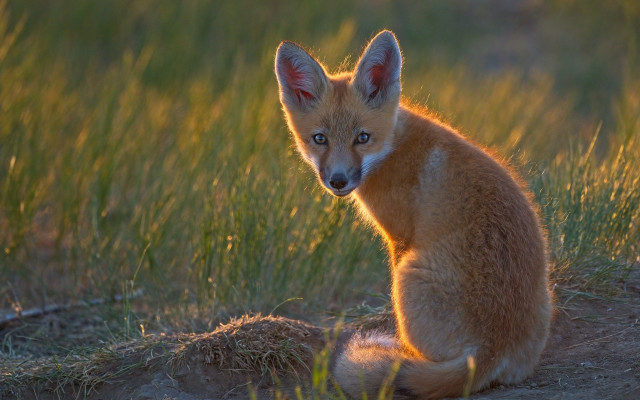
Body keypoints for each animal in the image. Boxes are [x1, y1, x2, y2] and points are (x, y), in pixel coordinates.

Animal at [274, 30, 552, 399]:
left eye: (362, 138)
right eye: (320, 139)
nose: (338, 181)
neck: (393, 147)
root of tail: (490, 350)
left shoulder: (400, 237)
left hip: (408, 274)